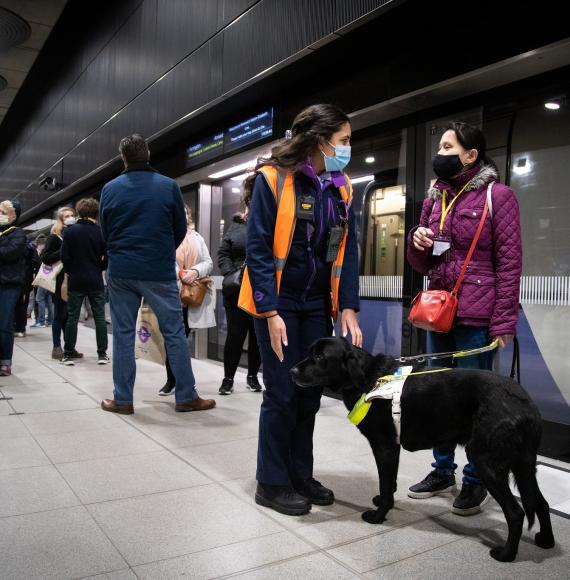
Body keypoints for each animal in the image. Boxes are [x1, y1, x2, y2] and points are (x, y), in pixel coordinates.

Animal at [290, 336, 552, 560]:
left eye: (319, 357)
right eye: (310, 352)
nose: (292, 370)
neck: (368, 378)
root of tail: (526, 405)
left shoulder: (384, 446)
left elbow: (386, 484)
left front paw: (378, 516)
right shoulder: (392, 448)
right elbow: (390, 483)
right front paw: (383, 503)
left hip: (485, 460)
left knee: (516, 512)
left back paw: (507, 554)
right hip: (523, 465)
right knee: (540, 502)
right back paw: (546, 541)